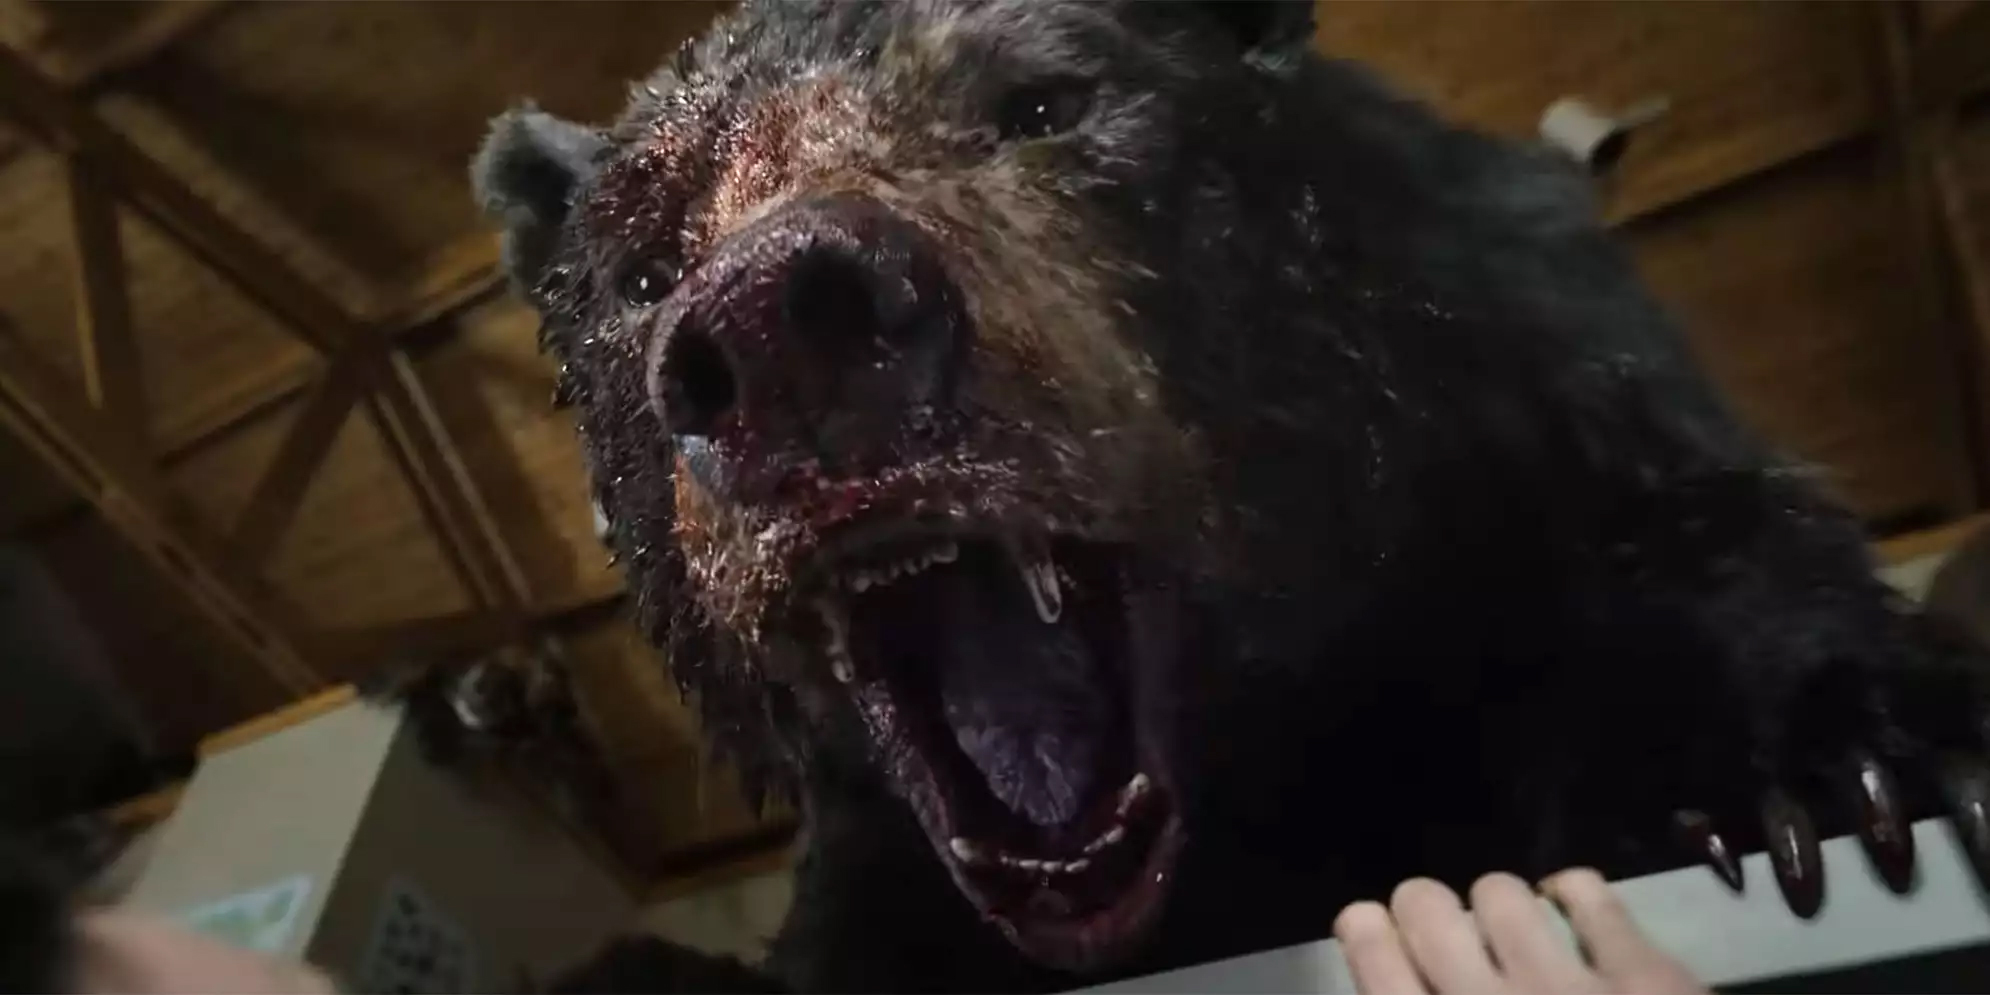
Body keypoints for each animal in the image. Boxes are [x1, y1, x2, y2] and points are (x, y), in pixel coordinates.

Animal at [471, 0, 1990, 990]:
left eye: (1041, 102)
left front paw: (1824, 773)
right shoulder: (882, 860)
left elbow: (1691, 541)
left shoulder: (1520, 366)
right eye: (644, 264)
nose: (783, 321)